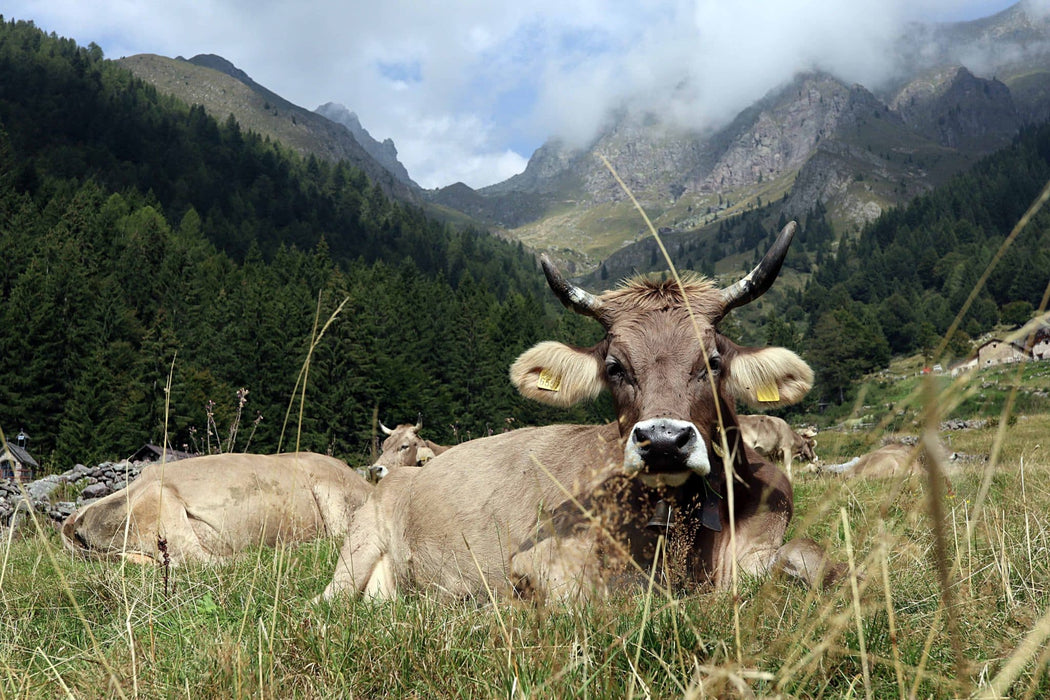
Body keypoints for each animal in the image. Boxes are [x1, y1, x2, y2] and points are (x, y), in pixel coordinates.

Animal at [319, 223, 844, 604]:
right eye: (615, 367)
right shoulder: (543, 563)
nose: (664, 441)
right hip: (356, 552)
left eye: (712, 362)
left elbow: (812, 558)